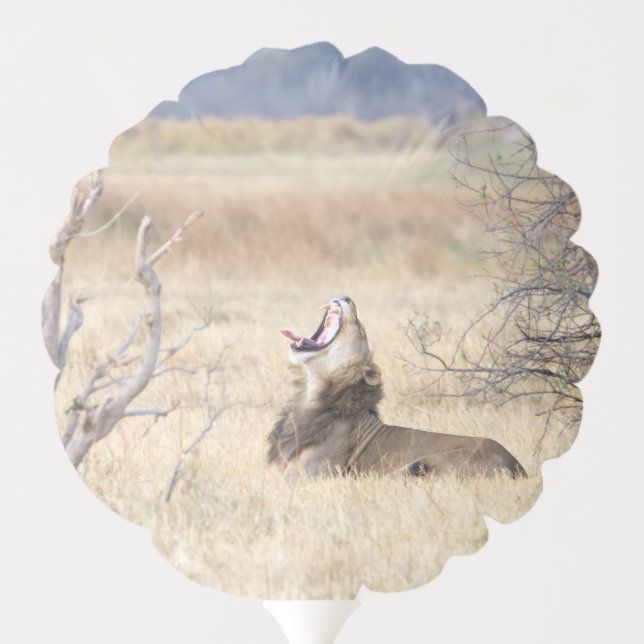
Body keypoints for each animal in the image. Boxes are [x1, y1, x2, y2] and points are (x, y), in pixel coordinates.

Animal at [268, 296, 527, 481]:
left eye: (360, 326)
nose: (346, 297)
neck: (311, 395)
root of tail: (517, 466)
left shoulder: (304, 478)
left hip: (419, 465)